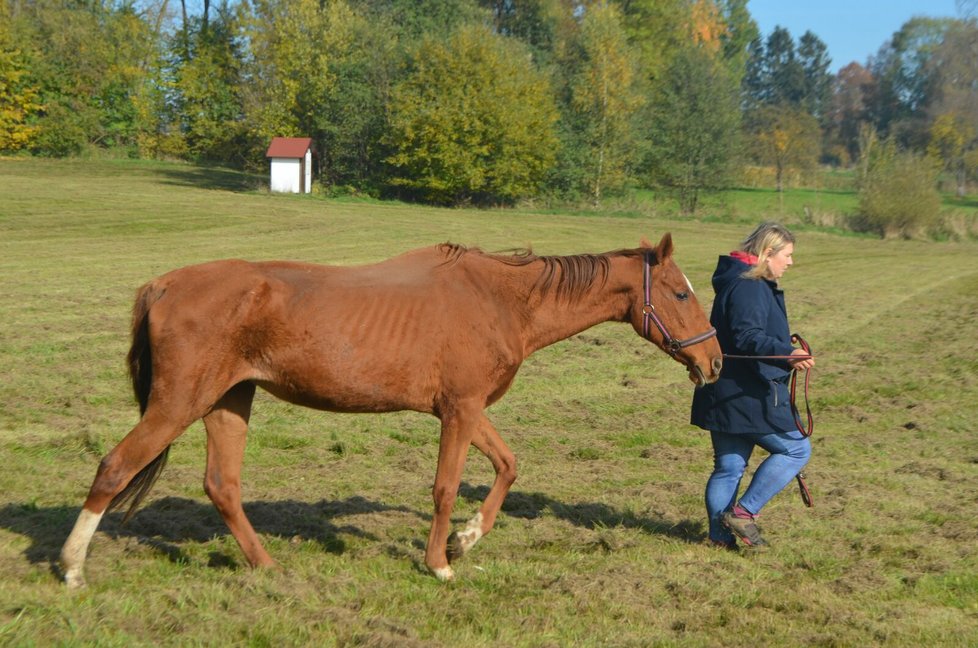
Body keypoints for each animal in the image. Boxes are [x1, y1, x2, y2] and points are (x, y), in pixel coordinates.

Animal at [59, 233, 716, 588]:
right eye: (682, 292)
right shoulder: (459, 412)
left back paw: (267, 565)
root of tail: (162, 285)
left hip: (227, 402)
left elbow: (507, 467)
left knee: (223, 486)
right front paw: (440, 563)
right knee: (114, 468)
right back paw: (71, 567)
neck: (501, 299)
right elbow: (446, 488)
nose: (713, 362)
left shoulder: (466, 409)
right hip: (179, 403)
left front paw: (465, 541)